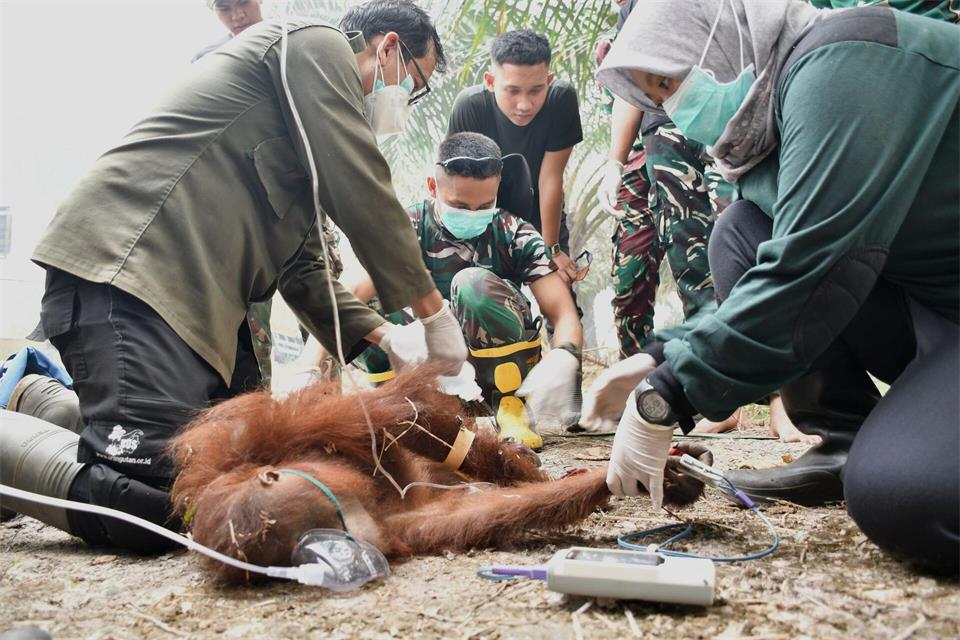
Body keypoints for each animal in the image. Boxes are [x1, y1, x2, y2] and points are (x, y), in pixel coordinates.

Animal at [170, 367, 712, 583]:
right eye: (331, 538)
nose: (359, 551)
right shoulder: (388, 527)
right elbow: (467, 515)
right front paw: (634, 478)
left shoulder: (272, 432)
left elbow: (397, 416)